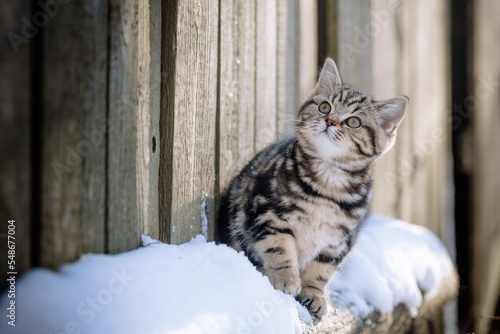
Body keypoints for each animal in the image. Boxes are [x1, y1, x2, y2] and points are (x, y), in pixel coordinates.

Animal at [217, 58, 408, 320]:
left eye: (354, 121)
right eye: (325, 107)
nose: (329, 121)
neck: (327, 184)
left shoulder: (339, 241)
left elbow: (321, 269)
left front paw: (313, 293)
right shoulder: (267, 212)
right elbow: (278, 246)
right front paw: (285, 277)